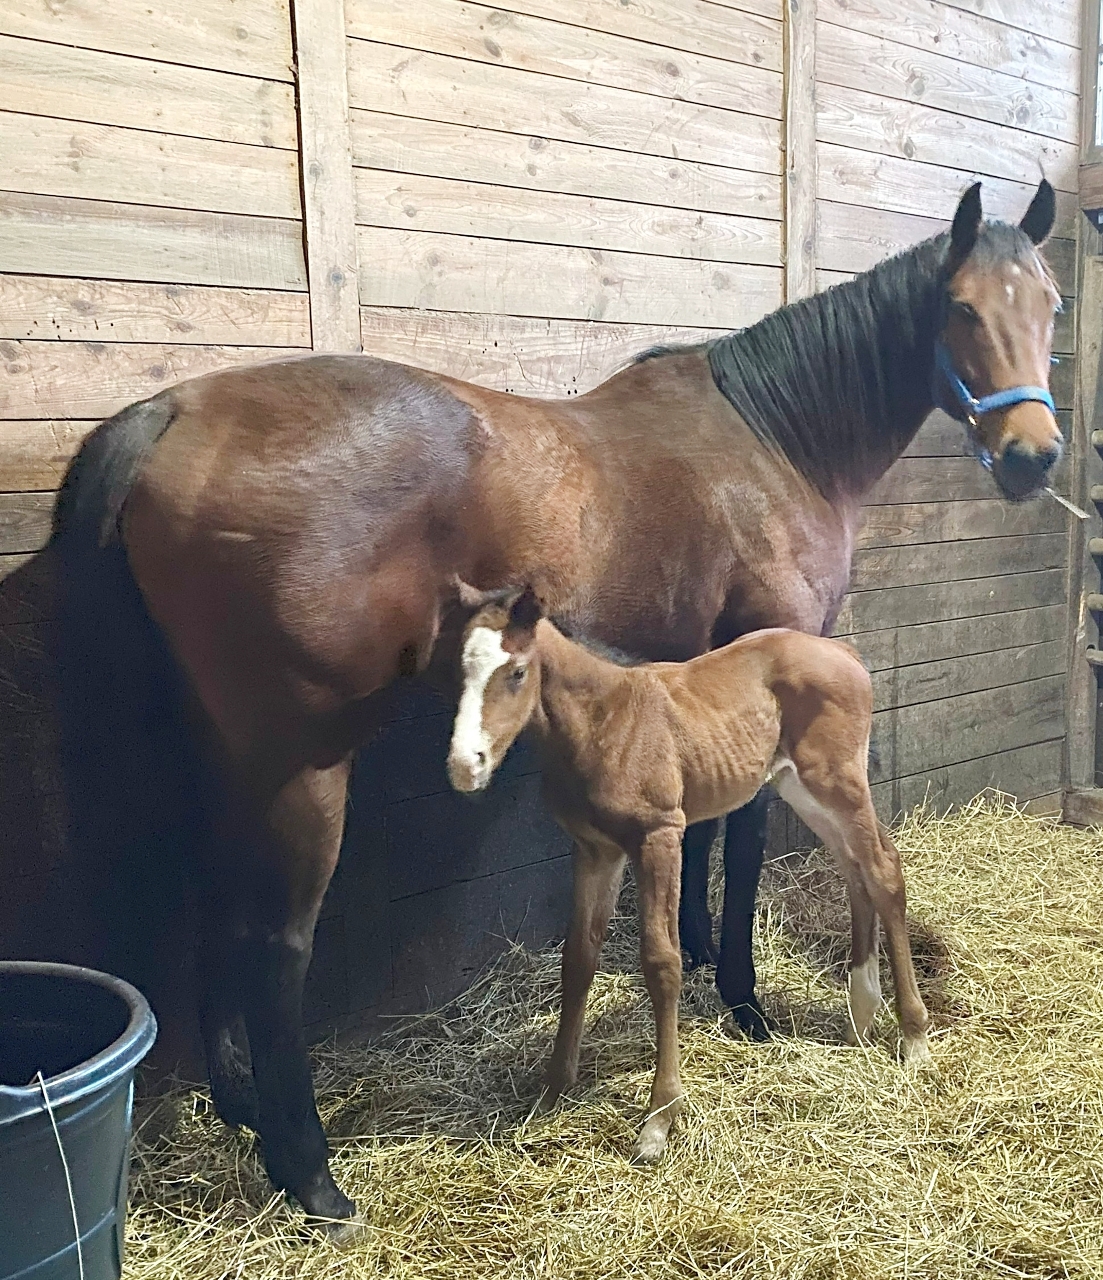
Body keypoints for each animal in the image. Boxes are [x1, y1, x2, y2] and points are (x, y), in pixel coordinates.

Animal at [445, 585, 930, 1163]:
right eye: (459, 669)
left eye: (517, 672)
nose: (465, 766)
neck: (604, 719)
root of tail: (845, 653)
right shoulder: (594, 850)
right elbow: (578, 958)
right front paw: (553, 1089)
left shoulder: (660, 836)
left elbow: (662, 962)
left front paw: (659, 1119)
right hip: (801, 785)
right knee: (857, 868)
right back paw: (861, 1012)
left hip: (837, 781)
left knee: (883, 870)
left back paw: (913, 1036)